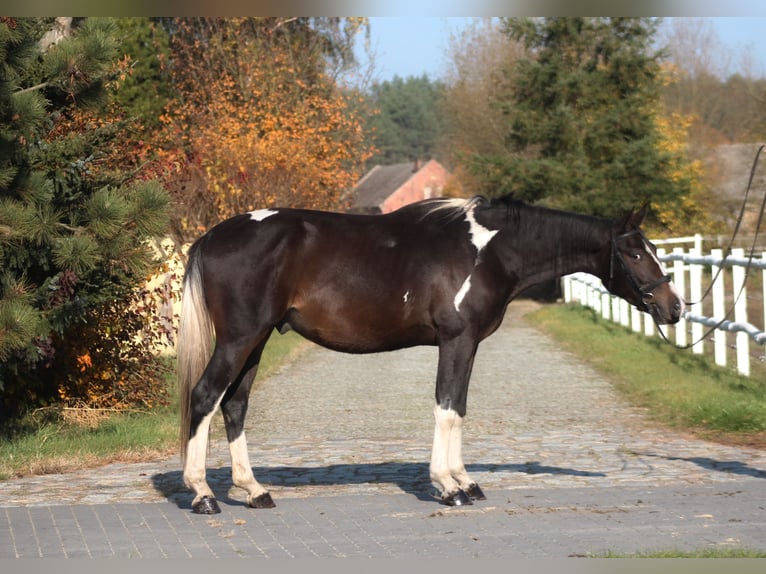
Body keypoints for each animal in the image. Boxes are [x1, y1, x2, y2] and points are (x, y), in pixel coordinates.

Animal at [177, 196, 688, 516]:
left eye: (653, 249)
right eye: (635, 253)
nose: (675, 308)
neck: (489, 250)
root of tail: (211, 237)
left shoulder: (469, 343)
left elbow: (458, 408)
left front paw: (466, 482)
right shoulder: (456, 340)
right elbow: (445, 409)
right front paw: (448, 487)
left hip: (257, 340)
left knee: (235, 405)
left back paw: (253, 491)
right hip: (240, 338)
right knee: (205, 397)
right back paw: (203, 495)